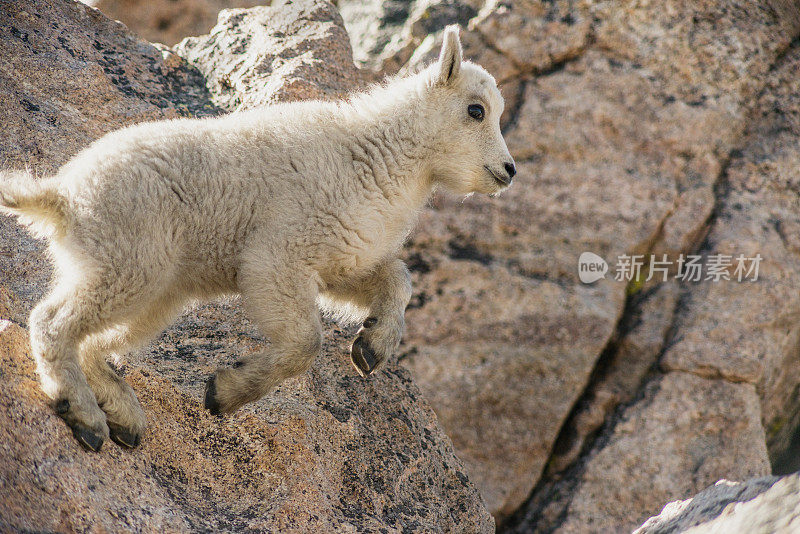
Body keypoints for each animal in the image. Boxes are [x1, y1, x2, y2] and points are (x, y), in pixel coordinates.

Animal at [0, 26, 512, 452]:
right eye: (476, 110)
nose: (508, 171)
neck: (379, 154)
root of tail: (62, 195)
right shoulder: (280, 253)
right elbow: (305, 340)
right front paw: (224, 393)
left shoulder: (340, 256)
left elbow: (397, 278)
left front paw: (371, 347)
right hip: (129, 258)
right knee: (52, 321)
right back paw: (84, 416)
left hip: (155, 289)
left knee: (94, 341)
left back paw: (124, 418)